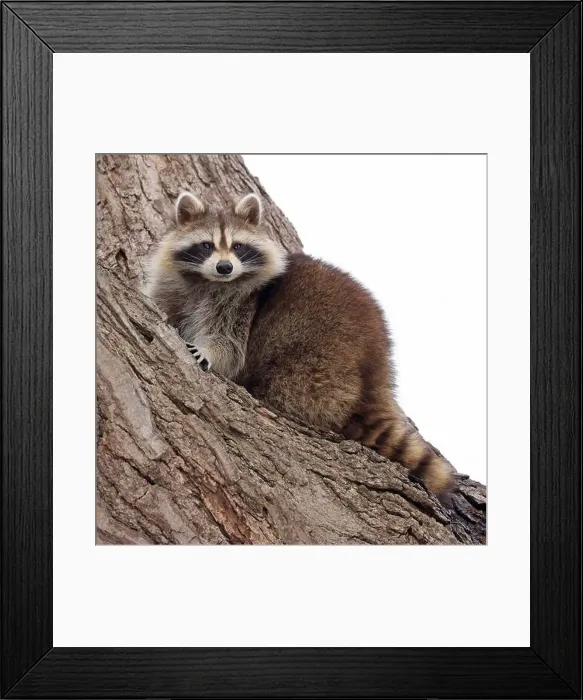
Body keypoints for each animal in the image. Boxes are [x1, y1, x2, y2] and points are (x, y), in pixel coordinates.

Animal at [145, 191, 454, 495]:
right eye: (207, 245)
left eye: (238, 246)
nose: (225, 267)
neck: (208, 281)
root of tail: (374, 365)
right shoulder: (176, 288)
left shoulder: (240, 305)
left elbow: (230, 348)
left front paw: (208, 353)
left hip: (319, 358)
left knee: (288, 382)